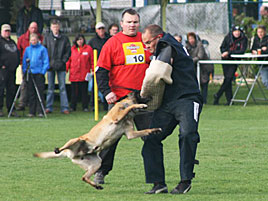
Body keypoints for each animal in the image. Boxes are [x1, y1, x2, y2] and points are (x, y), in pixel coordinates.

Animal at [32, 92, 160, 190]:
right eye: (140, 93)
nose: (151, 96)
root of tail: (71, 153)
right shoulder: (117, 117)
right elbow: (130, 107)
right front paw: (140, 105)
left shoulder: (130, 134)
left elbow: (146, 130)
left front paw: (155, 130)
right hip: (76, 140)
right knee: (63, 148)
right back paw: (57, 149)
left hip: (97, 163)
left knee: (84, 177)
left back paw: (97, 186)